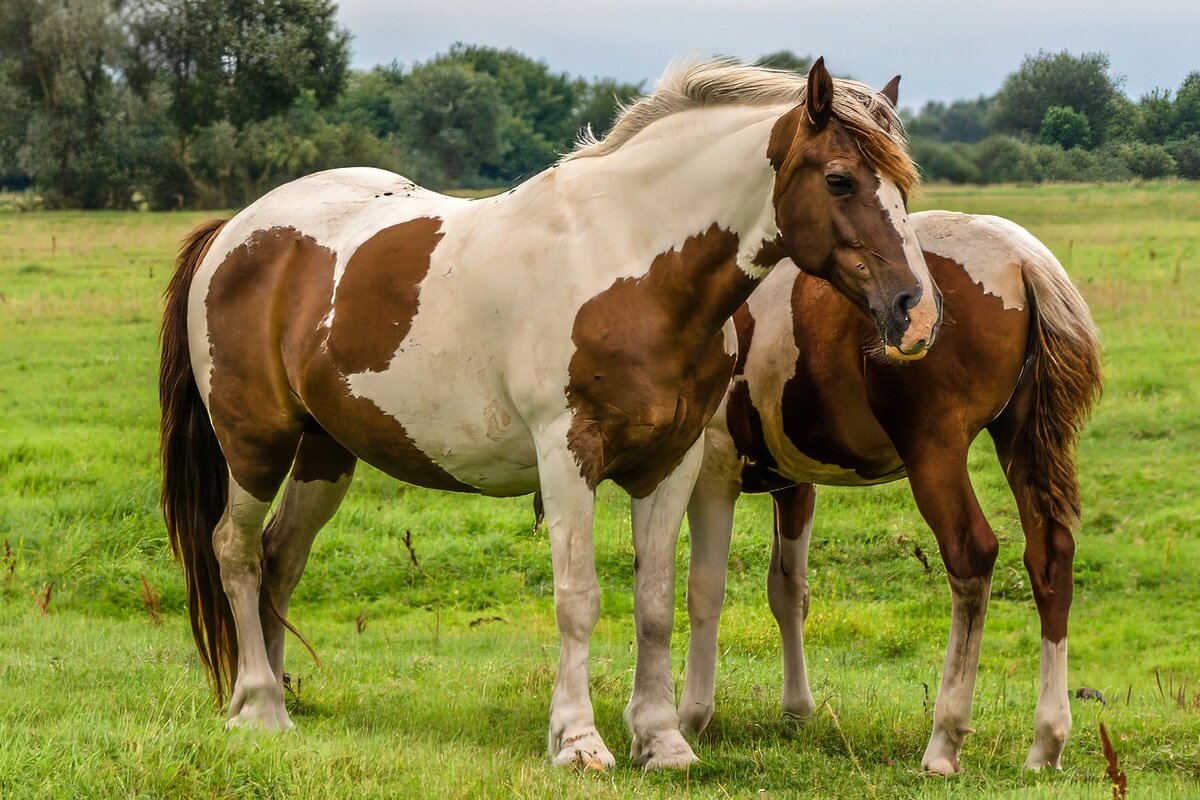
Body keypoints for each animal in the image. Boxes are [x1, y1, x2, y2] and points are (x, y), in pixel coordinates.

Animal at [157, 59, 936, 772]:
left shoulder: (672, 462)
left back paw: (273, 696)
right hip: (256, 442)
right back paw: (261, 705)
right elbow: (578, 598)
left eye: (903, 187)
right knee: (235, 551)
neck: (635, 265)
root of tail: (237, 230)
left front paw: (661, 741)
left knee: (280, 557)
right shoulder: (568, 456)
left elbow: (655, 601)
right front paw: (579, 742)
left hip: (324, 452)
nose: (915, 309)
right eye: (839, 179)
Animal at [681, 211, 1099, 777]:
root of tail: (1020, 259)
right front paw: (797, 710)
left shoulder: (711, 470)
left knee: (972, 554)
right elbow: (788, 592)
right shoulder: (795, 485)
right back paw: (1046, 744)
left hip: (934, 452)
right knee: (1050, 557)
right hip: (1020, 444)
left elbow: (700, 589)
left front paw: (688, 717)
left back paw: (945, 740)